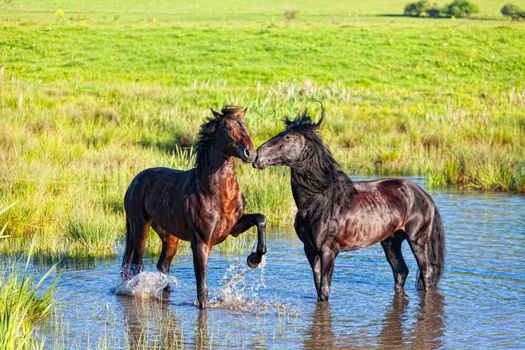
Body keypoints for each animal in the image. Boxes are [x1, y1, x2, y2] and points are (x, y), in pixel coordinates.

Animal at [122, 105, 266, 308]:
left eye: (245, 125)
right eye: (228, 127)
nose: (251, 154)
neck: (215, 193)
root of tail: (134, 183)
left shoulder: (233, 228)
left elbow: (260, 218)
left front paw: (254, 259)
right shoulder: (201, 243)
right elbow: (202, 289)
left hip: (170, 238)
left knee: (162, 266)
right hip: (140, 227)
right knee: (137, 264)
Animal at [252, 105, 444, 302]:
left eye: (287, 137)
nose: (256, 156)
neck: (317, 202)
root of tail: (423, 195)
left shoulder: (328, 251)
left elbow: (324, 290)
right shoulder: (310, 250)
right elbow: (318, 287)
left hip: (417, 241)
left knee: (426, 273)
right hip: (391, 241)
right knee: (401, 271)